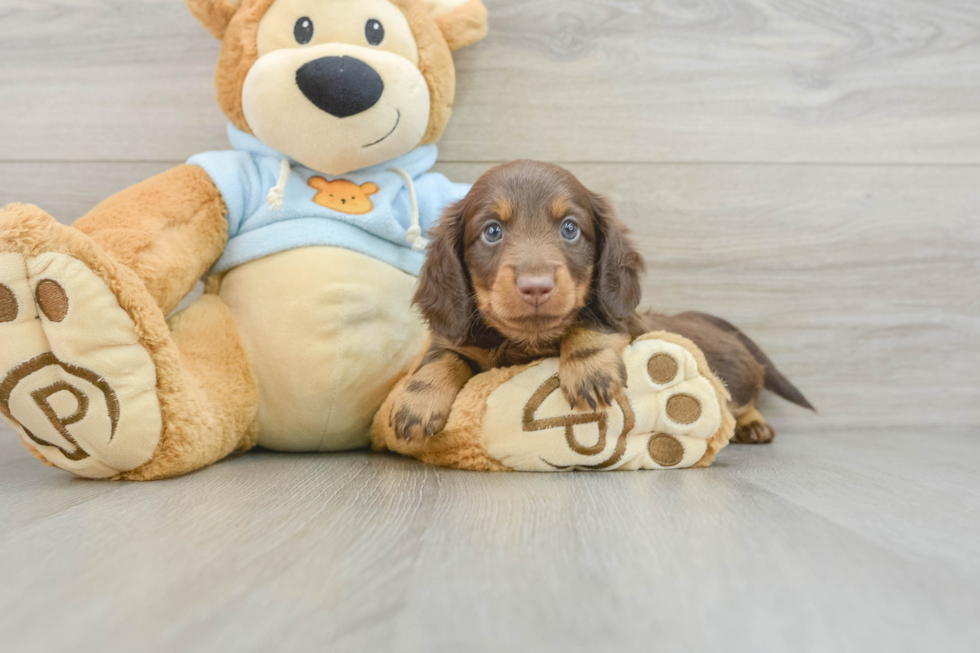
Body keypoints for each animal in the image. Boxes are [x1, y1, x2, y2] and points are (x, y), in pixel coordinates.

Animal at [390, 159, 812, 444]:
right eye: (492, 231)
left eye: (570, 228)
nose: (536, 287)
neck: (528, 343)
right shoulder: (463, 339)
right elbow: (442, 357)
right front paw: (418, 402)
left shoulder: (623, 320)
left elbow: (587, 321)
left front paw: (587, 370)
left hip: (734, 374)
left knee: (741, 397)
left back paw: (753, 424)